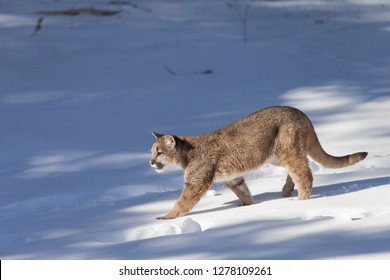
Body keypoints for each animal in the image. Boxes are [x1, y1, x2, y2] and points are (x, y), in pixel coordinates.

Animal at [149, 106, 366, 220]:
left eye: (158, 152)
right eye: (152, 152)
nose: (150, 162)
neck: (185, 154)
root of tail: (299, 110)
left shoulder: (196, 182)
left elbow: (183, 201)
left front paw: (166, 217)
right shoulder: (232, 177)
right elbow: (243, 191)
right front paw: (250, 206)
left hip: (287, 150)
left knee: (304, 173)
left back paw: (300, 201)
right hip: (278, 155)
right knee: (298, 169)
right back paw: (286, 191)